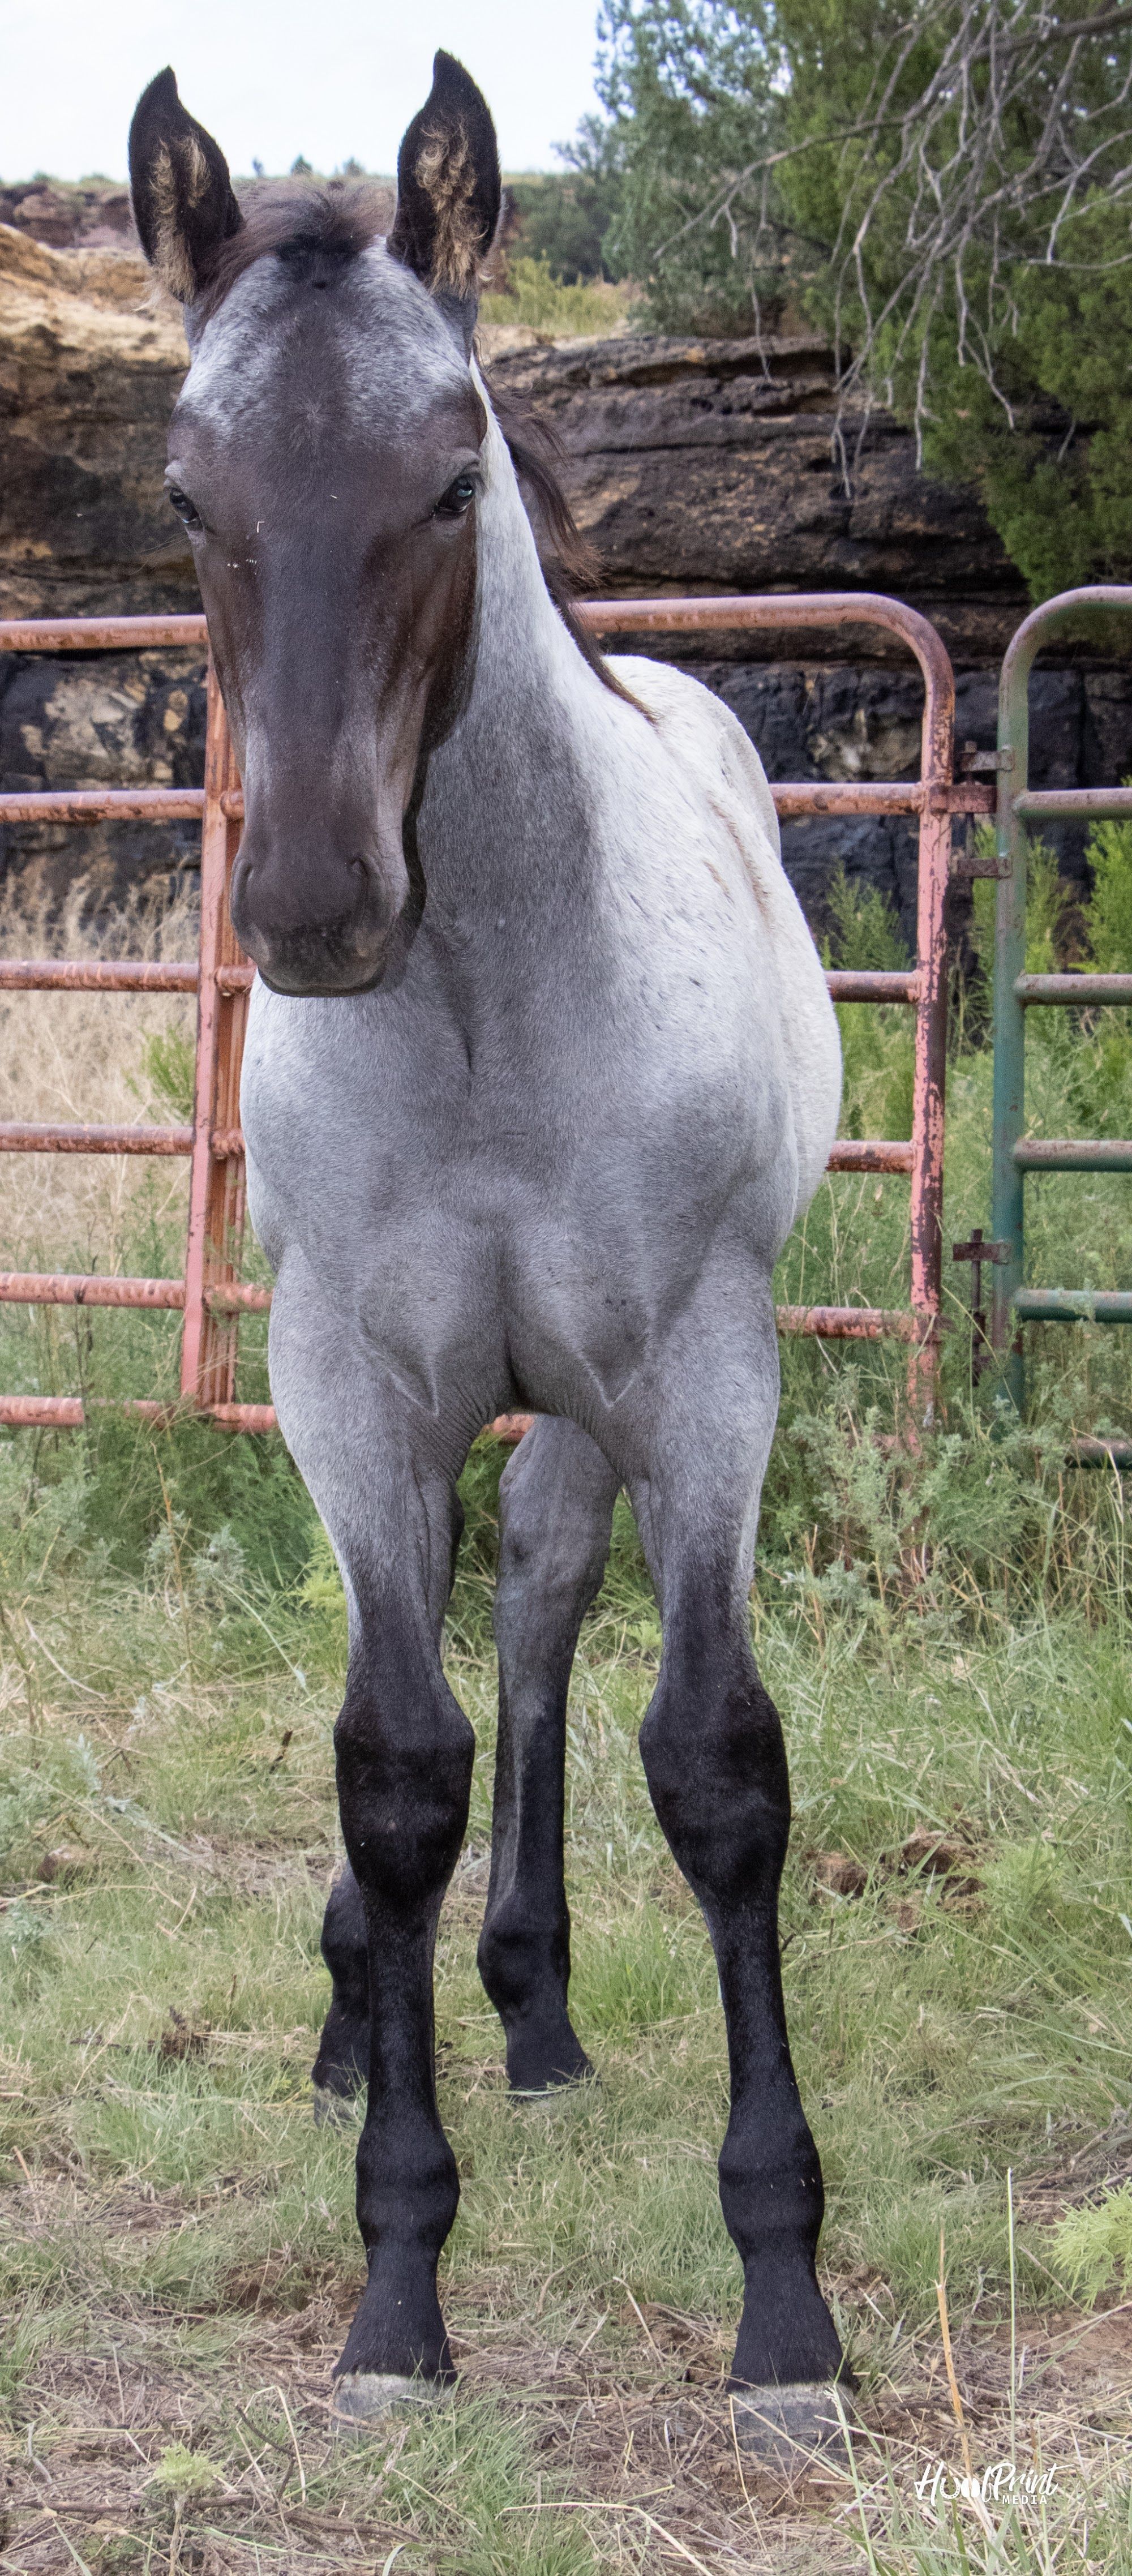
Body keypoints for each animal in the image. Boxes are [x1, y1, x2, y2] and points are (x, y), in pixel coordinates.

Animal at [128, 50, 847, 2460]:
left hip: (599, 1401)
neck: (481, 1003)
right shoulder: (344, 1384)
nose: (317, 907)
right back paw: (383, 2003)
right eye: (185, 495)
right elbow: (394, 1770)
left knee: (538, 1609)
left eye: (450, 477)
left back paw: (531, 2005)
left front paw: (784, 2311)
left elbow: (711, 1766)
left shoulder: (704, 1370)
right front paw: (394, 2289)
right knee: (479, 1642)